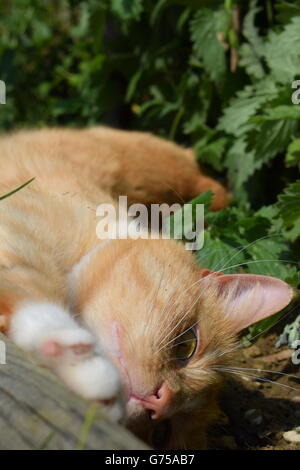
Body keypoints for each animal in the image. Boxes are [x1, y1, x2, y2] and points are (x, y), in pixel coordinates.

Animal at [0, 126, 292, 450]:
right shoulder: (19, 222)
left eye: (161, 431)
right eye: (186, 346)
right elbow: (31, 287)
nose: (158, 401)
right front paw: (74, 359)